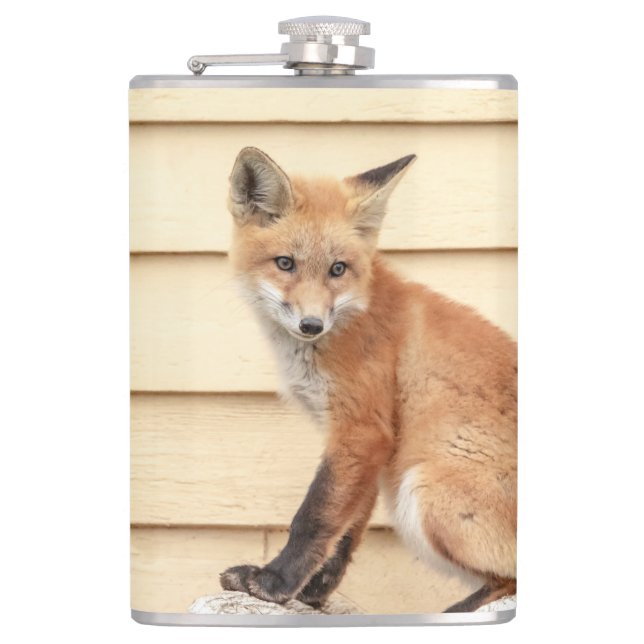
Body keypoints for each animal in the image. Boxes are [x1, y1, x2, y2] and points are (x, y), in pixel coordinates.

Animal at [219, 147, 517, 612]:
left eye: (337, 269)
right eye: (286, 264)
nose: (311, 324)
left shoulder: (361, 428)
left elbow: (314, 517)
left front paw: (274, 583)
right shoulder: (366, 445)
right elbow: (345, 530)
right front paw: (313, 593)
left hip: (423, 491)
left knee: (509, 578)